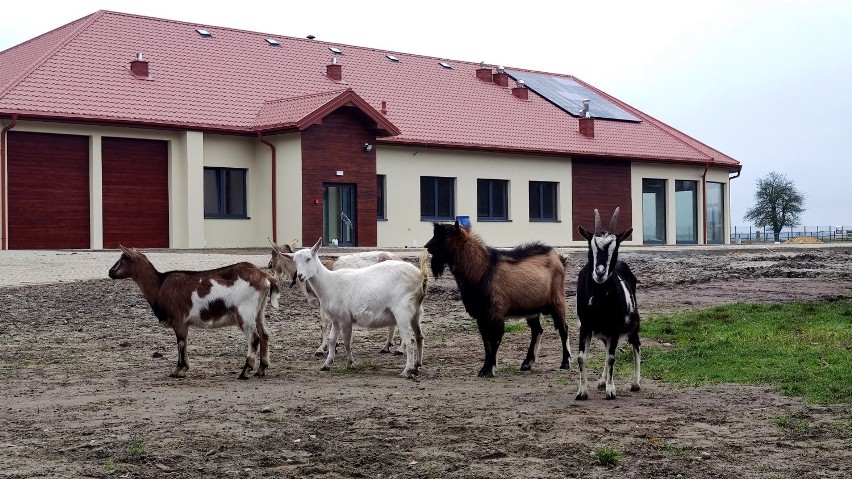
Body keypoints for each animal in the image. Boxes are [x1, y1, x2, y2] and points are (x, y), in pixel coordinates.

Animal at [108, 248, 282, 378]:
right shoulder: (183, 323)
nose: (110, 272)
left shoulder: (179, 320)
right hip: (258, 311)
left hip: (245, 311)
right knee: (264, 335)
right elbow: (183, 342)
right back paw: (261, 369)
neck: (159, 285)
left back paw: (245, 371)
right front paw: (182, 369)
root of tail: (265, 276)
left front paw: (178, 370)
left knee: (254, 338)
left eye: (123, 260)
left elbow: (180, 342)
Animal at [268, 240, 402, 356]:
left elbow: (324, 323)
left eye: (273, 253)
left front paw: (322, 348)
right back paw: (386, 346)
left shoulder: (323, 301)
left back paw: (399, 349)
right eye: (295, 261)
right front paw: (334, 345)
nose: (270, 266)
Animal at [288, 240, 426, 378]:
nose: (300, 276)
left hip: (402, 311)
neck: (329, 282)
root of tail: (420, 276)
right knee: (419, 336)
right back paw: (417, 365)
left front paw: (350, 363)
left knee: (409, 341)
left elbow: (347, 341)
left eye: (308, 259)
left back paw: (407, 370)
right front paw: (327, 364)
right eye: (295, 261)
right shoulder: (336, 319)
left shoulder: (345, 318)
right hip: (415, 312)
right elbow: (332, 340)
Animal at [422, 222, 568, 378]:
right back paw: (527, 363)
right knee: (537, 331)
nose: (427, 246)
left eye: (447, 235)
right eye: (435, 233)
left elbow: (495, 339)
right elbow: (486, 341)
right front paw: (484, 369)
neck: (482, 269)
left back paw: (565, 363)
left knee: (563, 329)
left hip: (558, 300)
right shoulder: (481, 314)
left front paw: (490, 369)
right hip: (532, 309)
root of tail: (558, 257)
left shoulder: (496, 311)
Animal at [572, 208, 640, 400]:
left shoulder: (615, 327)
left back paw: (635, 383)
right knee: (608, 347)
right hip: (602, 331)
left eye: (615, 247)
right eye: (590, 246)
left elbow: (611, 357)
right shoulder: (585, 325)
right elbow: (581, 357)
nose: (600, 272)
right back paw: (602, 381)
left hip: (633, 323)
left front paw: (611, 390)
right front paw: (582, 391)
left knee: (636, 345)